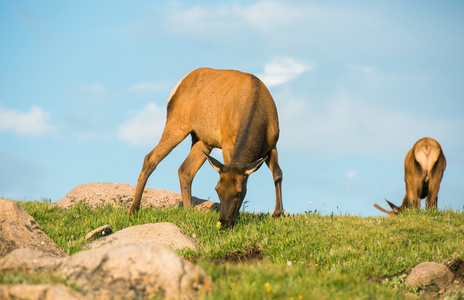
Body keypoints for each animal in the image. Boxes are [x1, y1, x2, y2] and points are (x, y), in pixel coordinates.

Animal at [129, 68, 284, 226]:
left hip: (202, 140)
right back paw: (133, 210)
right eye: (217, 190)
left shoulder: (273, 145)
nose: (224, 221)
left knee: (185, 169)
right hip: (177, 123)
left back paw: (188, 211)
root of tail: (177, 87)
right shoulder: (227, 141)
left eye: (239, 192)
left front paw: (278, 214)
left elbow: (278, 173)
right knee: (150, 158)